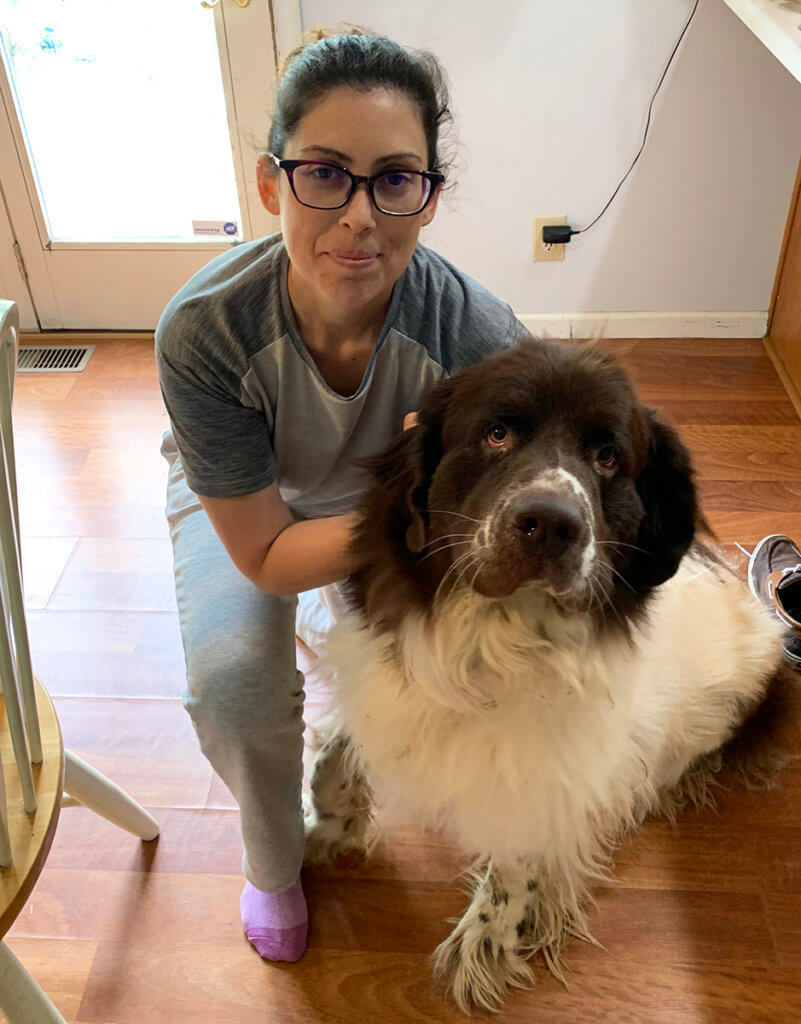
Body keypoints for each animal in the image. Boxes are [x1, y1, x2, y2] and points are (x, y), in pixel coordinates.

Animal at [305, 339, 794, 1011]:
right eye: (497, 433)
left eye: (607, 456)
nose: (551, 523)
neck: (495, 638)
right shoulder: (385, 681)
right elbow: (337, 749)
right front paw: (328, 826)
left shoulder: (543, 772)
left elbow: (516, 860)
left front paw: (489, 938)